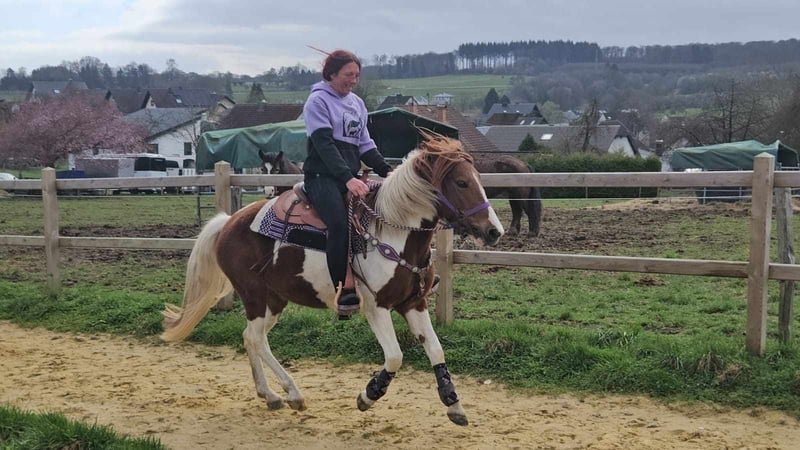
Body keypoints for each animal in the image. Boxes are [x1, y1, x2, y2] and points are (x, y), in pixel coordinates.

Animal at [161, 135, 504, 426]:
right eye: (461, 182)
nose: (494, 231)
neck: (394, 234)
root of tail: (228, 222)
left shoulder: (413, 304)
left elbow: (436, 350)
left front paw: (453, 404)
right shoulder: (376, 307)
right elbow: (395, 356)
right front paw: (369, 394)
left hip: (274, 299)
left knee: (250, 337)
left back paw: (270, 395)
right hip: (255, 295)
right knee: (256, 339)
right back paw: (292, 393)